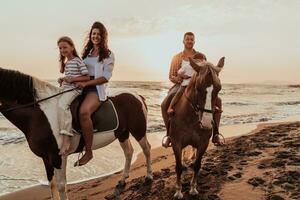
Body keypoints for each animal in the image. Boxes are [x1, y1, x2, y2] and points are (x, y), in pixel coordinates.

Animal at [0, 68, 152, 199]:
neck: (40, 114)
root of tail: (137, 96)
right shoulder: (46, 158)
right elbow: (52, 185)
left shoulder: (58, 157)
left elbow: (61, 186)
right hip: (122, 133)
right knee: (129, 152)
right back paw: (123, 180)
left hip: (138, 130)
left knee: (146, 149)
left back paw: (149, 177)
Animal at [162, 57, 225, 198]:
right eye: (198, 87)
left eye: (218, 89)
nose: (207, 123)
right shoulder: (176, 142)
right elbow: (178, 166)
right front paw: (178, 191)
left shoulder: (203, 143)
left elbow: (197, 165)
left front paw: (193, 188)